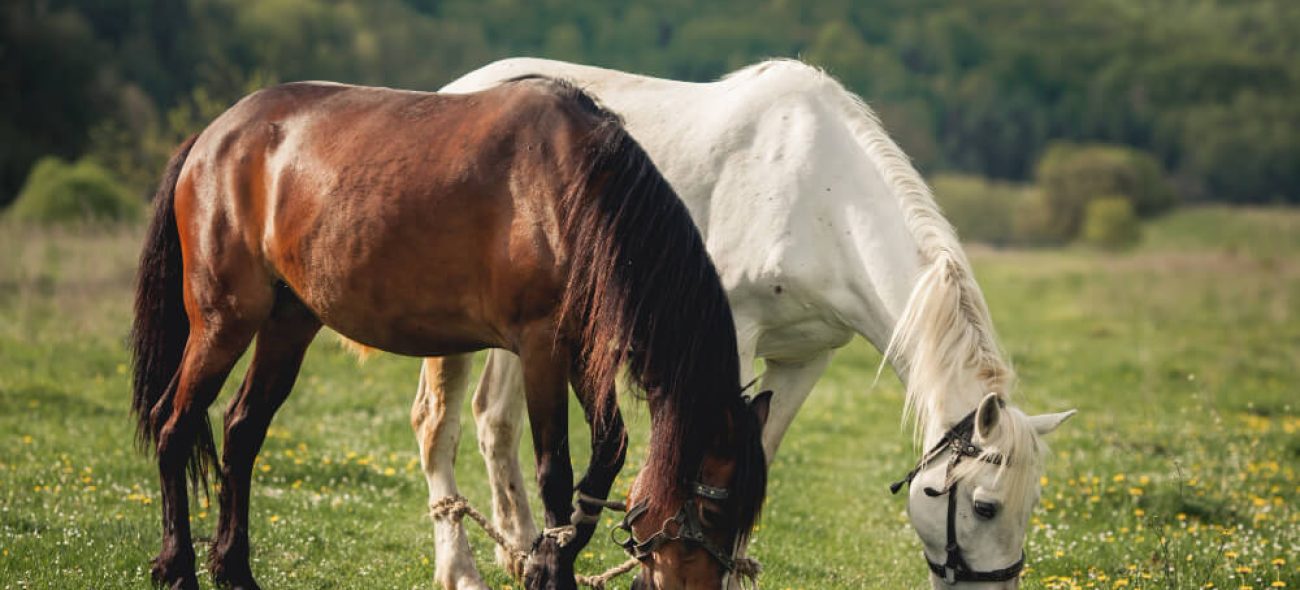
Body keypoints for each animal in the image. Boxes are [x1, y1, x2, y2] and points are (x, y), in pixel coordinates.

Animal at [129, 76, 769, 590]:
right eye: (714, 512)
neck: (576, 193)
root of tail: (212, 138)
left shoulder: (584, 352)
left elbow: (607, 452)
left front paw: (549, 559)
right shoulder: (542, 349)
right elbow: (555, 471)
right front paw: (550, 570)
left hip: (288, 325)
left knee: (241, 432)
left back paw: (234, 569)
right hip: (223, 322)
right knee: (174, 425)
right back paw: (177, 566)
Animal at [403, 59, 1077, 589]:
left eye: (1032, 505)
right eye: (985, 507)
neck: (822, 199)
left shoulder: (806, 358)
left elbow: (759, 456)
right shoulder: (731, 343)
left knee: (495, 420)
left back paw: (520, 550)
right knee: (441, 426)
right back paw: (465, 566)